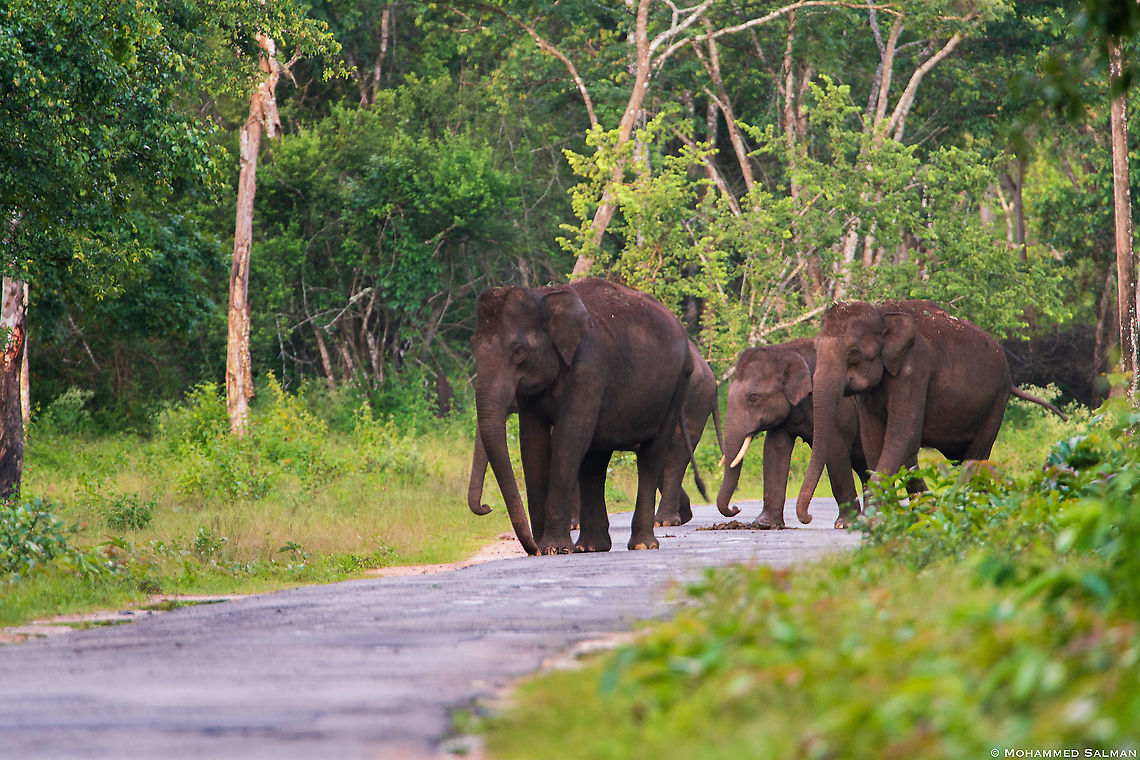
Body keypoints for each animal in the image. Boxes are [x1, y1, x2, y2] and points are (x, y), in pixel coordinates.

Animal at [472, 277, 696, 555]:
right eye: (473, 347)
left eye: (518, 350)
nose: (487, 507)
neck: (544, 296)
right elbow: (532, 444)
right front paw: (546, 549)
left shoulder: (589, 368)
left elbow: (569, 438)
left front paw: (554, 548)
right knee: (594, 462)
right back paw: (591, 547)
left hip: (678, 386)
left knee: (650, 456)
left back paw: (642, 545)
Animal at [715, 338, 869, 529]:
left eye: (753, 397)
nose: (735, 508)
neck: (785, 350)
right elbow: (774, 450)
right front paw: (764, 524)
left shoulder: (838, 407)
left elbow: (835, 452)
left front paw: (844, 524)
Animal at [795, 299, 1067, 525]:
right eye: (816, 348)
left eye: (853, 353)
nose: (807, 517)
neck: (882, 313)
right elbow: (874, 438)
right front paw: (880, 515)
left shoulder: (915, 370)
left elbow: (903, 432)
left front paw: (872, 518)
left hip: (996, 402)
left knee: (974, 458)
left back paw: (973, 507)